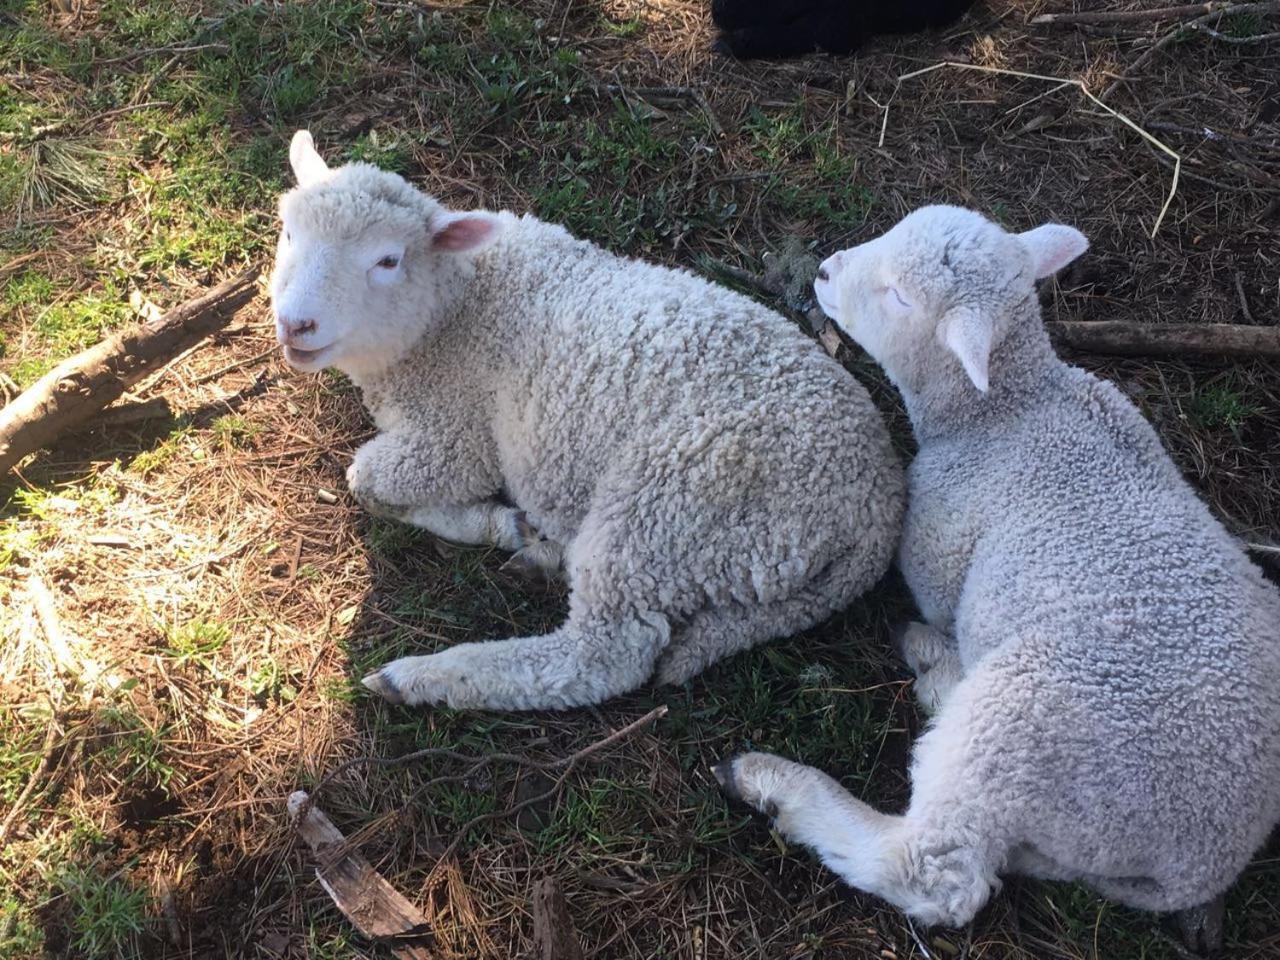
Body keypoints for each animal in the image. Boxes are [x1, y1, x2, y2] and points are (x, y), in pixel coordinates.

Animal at [266, 129, 906, 716]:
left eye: (387, 260)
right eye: (289, 233)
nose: (296, 323)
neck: (454, 310)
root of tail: (877, 510)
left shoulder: (455, 435)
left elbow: (366, 480)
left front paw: (489, 520)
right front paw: (512, 526)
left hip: (675, 507)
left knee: (599, 656)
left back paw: (429, 676)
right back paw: (543, 559)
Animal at [716, 207, 1280, 952]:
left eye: (901, 296)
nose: (827, 273)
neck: (1009, 410)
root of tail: (1204, 864)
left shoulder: (937, 548)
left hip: (1021, 730)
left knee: (936, 867)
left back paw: (783, 781)